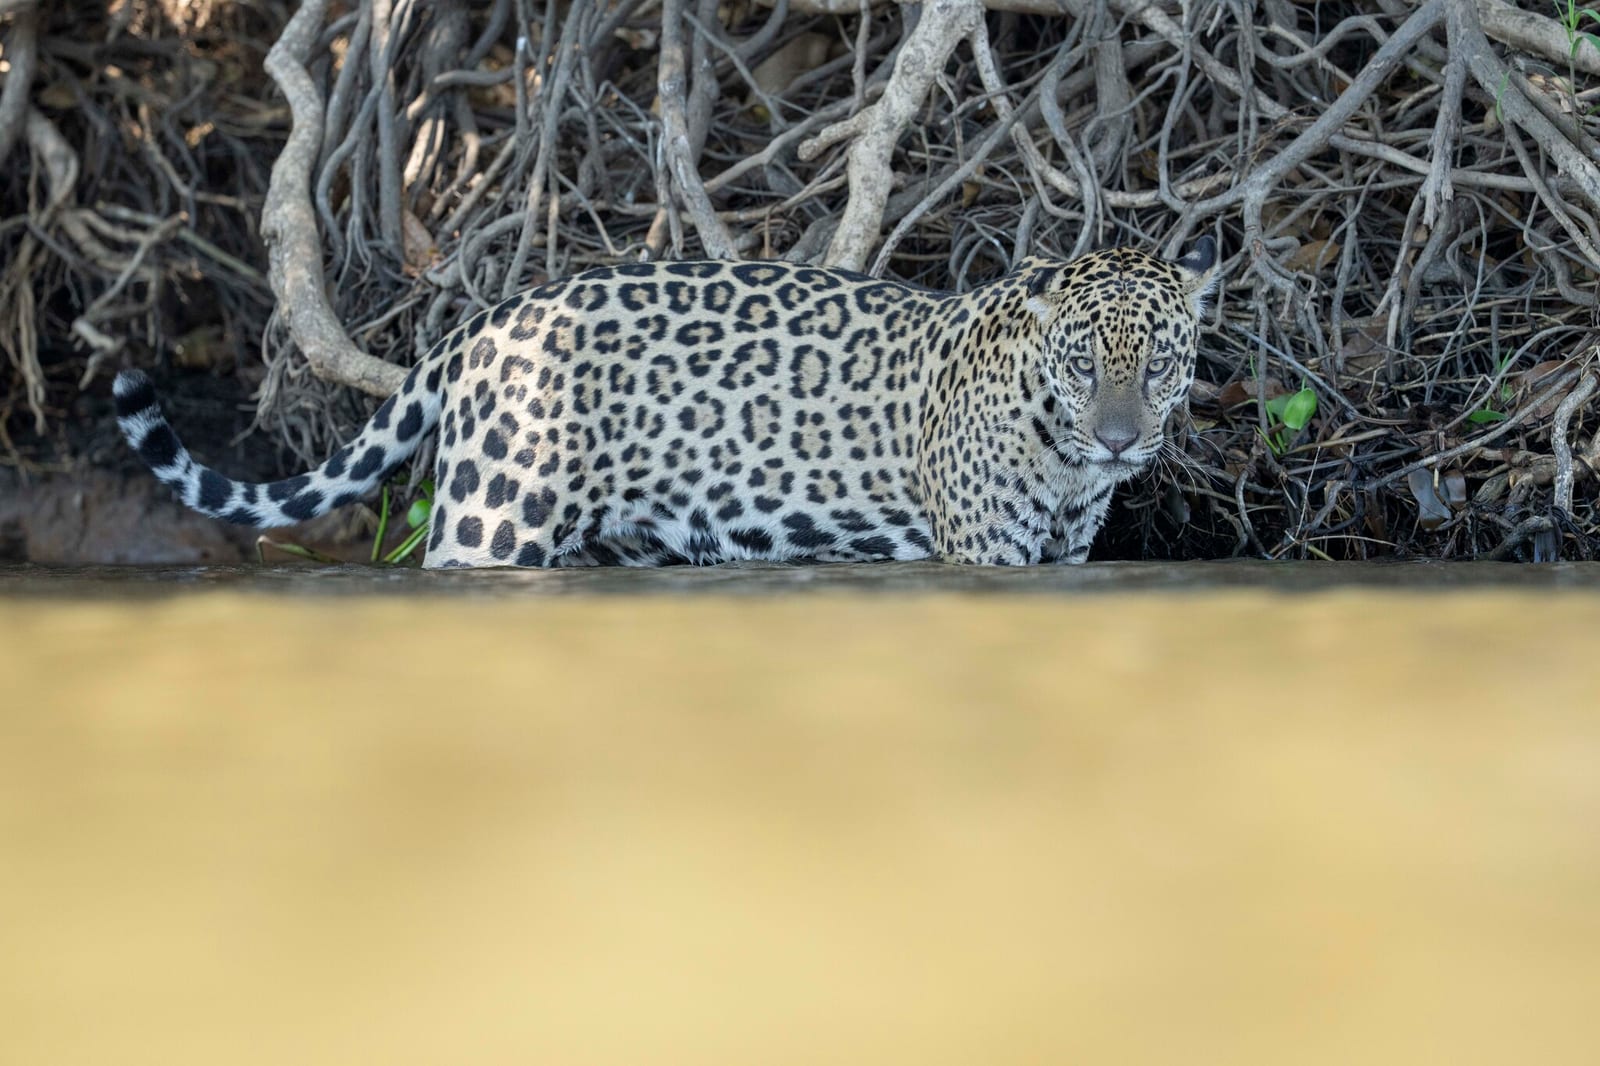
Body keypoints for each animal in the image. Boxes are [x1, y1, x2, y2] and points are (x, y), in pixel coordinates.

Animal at [114, 239, 1220, 568]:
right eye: (1083, 362)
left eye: (1162, 362)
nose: (1120, 441)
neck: (1063, 457)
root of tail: (482, 320)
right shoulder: (983, 557)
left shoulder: (1062, 561)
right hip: (492, 524)